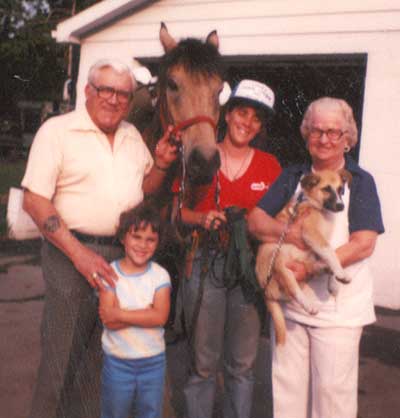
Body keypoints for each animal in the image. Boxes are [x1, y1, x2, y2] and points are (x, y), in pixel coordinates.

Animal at [256, 168, 354, 344]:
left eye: (340, 189)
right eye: (326, 189)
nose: (341, 206)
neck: (318, 207)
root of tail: (265, 290)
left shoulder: (316, 244)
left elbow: (331, 254)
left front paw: (336, 279)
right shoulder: (311, 234)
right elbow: (330, 252)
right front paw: (339, 272)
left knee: (310, 269)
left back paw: (327, 272)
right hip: (276, 257)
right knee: (292, 289)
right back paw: (309, 305)